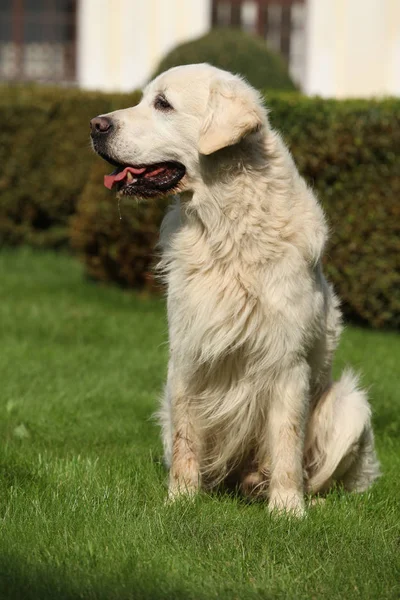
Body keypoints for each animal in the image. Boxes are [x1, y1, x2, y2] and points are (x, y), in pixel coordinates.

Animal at [89, 64, 380, 516]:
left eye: (163, 104)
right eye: (143, 99)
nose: (95, 125)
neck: (225, 227)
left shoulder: (286, 360)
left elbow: (287, 442)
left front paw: (288, 511)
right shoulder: (187, 352)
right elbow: (186, 440)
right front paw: (180, 501)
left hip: (351, 407)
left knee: (323, 477)